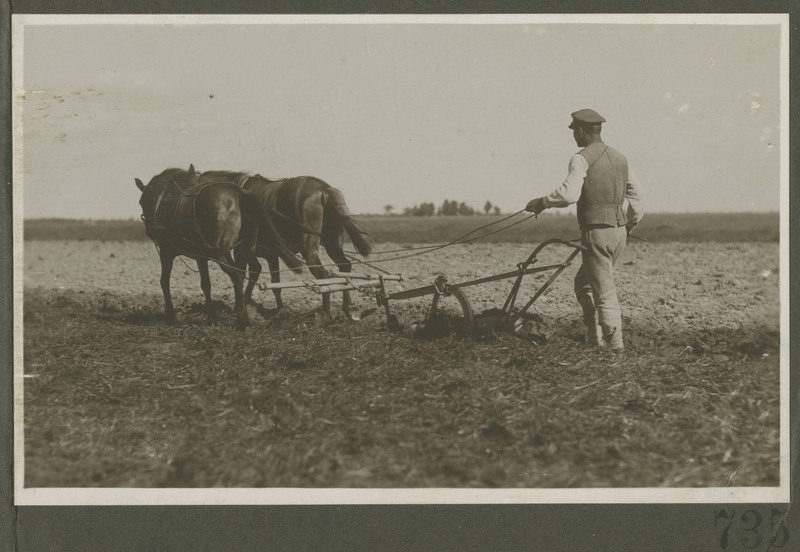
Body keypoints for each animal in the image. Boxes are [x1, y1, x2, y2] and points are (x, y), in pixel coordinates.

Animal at [136, 166, 302, 326]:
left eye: (142, 201)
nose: (150, 230)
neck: (165, 201)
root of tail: (239, 192)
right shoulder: (201, 256)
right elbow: (206, 284)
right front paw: (211, 316)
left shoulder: (166, 252)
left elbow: (164, 281)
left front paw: (172, 316)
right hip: (243, 248)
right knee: (248, 271)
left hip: (221, 252)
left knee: (237, 275)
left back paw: (242, 317)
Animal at [197, 172, 376, 320]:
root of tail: (325, 189)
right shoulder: (271, 254)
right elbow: (274, 283)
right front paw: (279, 310)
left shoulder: (240, 251)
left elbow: (242, 274)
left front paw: (242, 305)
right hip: (332, 244)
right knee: (345, 267)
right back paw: (346, 309)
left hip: (309, 249)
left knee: (323, 275)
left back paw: (326, 313)